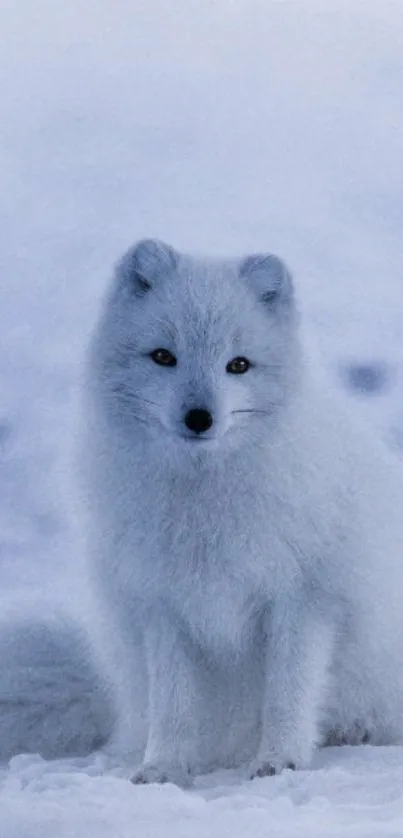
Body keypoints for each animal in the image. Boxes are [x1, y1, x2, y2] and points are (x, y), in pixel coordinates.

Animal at [76, 241, 403, 788]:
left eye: (239, 365)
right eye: (163, 356)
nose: (199, 418)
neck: (204, 504)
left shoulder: (305, 598)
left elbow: (289, 693)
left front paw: (279, 762)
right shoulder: (162, 605)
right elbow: (173, 705)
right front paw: (162, 768)